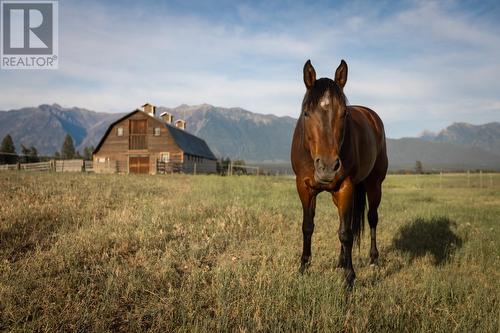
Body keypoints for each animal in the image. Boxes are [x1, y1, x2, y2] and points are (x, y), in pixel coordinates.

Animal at [292, 59, 388, 286]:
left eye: (344, 114)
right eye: (306, 113)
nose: (328, 167)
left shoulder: (346, 186)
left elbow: (346, 233)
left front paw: (349, 278)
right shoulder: (304, 188)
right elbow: (307, 227)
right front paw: (303, 267)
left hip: (374, 184)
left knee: (372, 218)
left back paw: (373, 259)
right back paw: (341, 261)